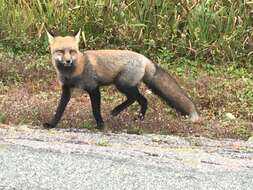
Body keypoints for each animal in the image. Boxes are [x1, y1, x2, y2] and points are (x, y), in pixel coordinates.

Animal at [43, 29, 200, 129]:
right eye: (60, 51)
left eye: (72, 51)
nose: (68, 61)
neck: (73, 72)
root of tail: (145, 58)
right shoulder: (66, 90)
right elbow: (59, 109)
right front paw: (52, 124)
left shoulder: (94, 88)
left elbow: (95, 110)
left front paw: (100, 125)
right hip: (124, 85)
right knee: (141, 99)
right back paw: (138, 117)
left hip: (122, 84)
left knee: (138, 98)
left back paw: (119, 111)